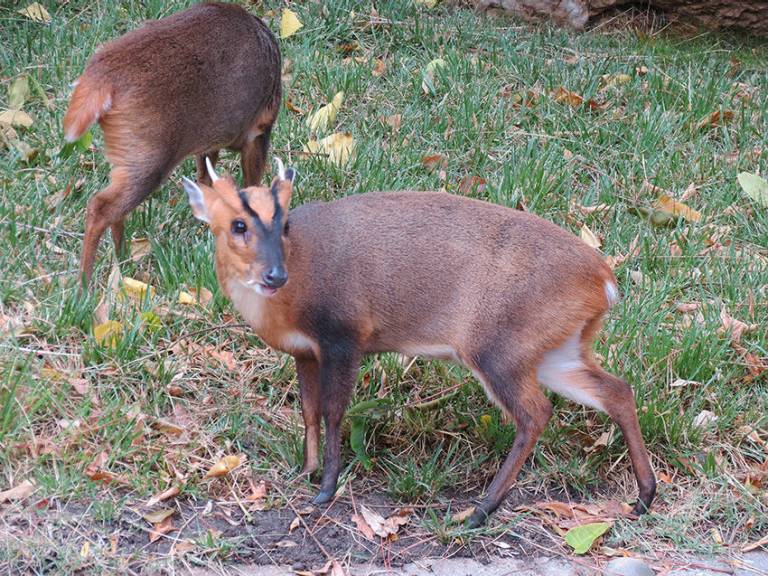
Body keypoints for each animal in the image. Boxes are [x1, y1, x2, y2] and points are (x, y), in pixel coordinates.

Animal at [62, 1, 280, 286]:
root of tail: (101, 76)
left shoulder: (208, 142)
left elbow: (204, 179)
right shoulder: (259, 129)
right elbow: (251, 187)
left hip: (128, 156)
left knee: (114, 209)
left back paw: (123, 260)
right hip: (149, 156)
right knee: (100, 206)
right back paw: (85, 286)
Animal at [183, 159, 656, 528]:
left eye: (283, 224)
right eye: (238, 225)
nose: (274, 275)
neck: (293, 293)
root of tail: (605, 281)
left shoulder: (344, 334)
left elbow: (334, 412)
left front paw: (326, 489)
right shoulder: (305, 351)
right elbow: (309, 411)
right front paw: (306, 472)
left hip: (499, 345)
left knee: (535, 413)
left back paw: (479, 510)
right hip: (556, 348)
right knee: (616, 390)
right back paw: (643, 497)